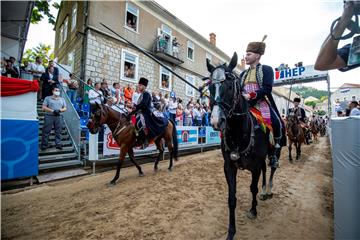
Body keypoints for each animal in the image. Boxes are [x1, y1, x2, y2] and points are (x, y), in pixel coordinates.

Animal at [205, 53, 282, 239]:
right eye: (210, 87)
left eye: (229, 86)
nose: (216, 121)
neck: (240, 133)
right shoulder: (229, 166)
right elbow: (231, 199)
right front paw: (231, 231)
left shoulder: (254, 166)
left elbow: (252, 188)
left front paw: (253, 211)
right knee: (265, 170)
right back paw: (264, 192)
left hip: (275, 150)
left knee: (272, 168)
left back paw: (268, 190)